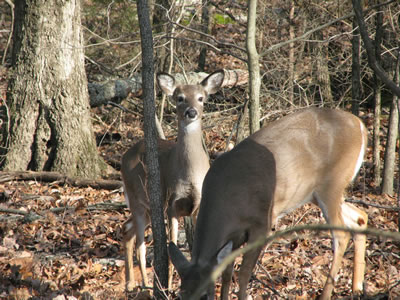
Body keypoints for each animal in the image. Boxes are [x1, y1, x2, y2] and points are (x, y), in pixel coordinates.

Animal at [120, 69, 227, 290]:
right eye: (180, 98)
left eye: (201, 98)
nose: (191, 112)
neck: (190, 174)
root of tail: (124, 156)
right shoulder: (172, 205)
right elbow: (171, 250)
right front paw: (169, 286)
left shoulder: (197, 206)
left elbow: (195, 250)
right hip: (137, 198)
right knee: (140, 245)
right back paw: (145, 285)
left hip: (149, 207)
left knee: (127, 230)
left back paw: (130, 283)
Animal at [169, 108, 368, 300]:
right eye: (180, 295)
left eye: (203, 295)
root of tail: (360, 125)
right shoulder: (234, 235)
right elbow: (226, 273)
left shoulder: (262, 223)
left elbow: (243, 274)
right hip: (317, 194)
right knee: (360, 217)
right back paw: (357, 288)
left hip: (331, 184)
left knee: (341, 234)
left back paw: (327, 295)